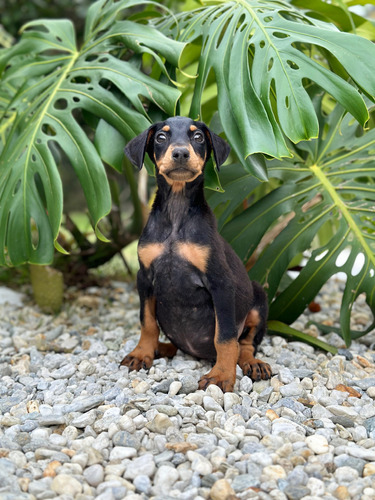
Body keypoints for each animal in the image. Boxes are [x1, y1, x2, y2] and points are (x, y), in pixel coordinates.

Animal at [122, 116, 272, 390]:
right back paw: (160, 348)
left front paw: (221, 376)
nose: (181, 153)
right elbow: (147, 323)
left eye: (198, 137)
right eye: (161, 137)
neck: (177, 210)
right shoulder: (144, 277)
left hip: (258, 298)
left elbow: (225, 337)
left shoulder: (221, 283)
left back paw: (252, 363)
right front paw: (141, 353)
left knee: (245, 344)